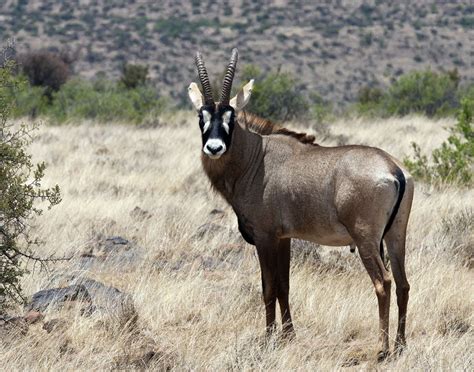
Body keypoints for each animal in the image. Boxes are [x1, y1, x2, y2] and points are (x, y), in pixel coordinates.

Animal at [187, 48, 412, 358]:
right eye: (202, 116)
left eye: (230, 117)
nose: (214, 148)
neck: (255, 157)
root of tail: (393, 169)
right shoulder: (284, 239)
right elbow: (284, 285)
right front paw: (288, 335)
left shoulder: (265, 237)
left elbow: (268, 287)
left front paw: (268, 337)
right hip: (396, 235)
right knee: (403, 284)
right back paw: (401, 345)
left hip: (366, 239)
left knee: (384, 282)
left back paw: (382, 348)